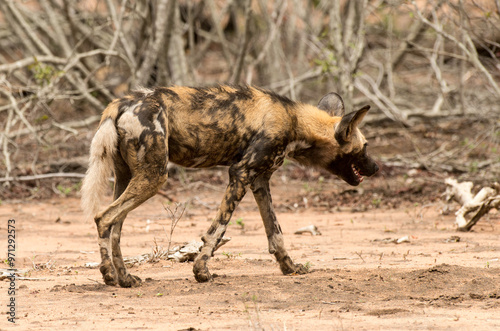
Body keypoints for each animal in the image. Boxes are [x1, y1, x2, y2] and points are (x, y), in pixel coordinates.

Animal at [81, 85, 378, 288]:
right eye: (364, 147)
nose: (376, 168)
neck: (295, 122)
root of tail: (123, 102)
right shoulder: (240, 173)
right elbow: (217, 229)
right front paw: (201, 271)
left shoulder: (259, 180)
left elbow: (276, 233)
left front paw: (290, 267)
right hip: (154, 177)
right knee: (103, 217)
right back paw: (109, 275)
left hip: (128, 178)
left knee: (115, 226)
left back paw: (125, 278)